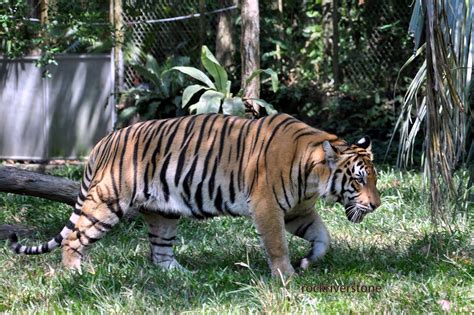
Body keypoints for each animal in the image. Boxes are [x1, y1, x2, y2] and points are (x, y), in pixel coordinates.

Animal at [9, 113, 382, 276]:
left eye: (375, 179)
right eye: (359, 181)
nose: (376, 205)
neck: (314, 176)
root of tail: (105, 140)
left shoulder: (297, 211)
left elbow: (323, 237)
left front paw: (308, 260)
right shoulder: (268, 208)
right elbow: (277, 246)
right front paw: (287, 276)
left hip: (164, 213)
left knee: (159, 253)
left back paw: (179, 274)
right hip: (107, 203)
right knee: (75, 237)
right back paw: (75, 274)